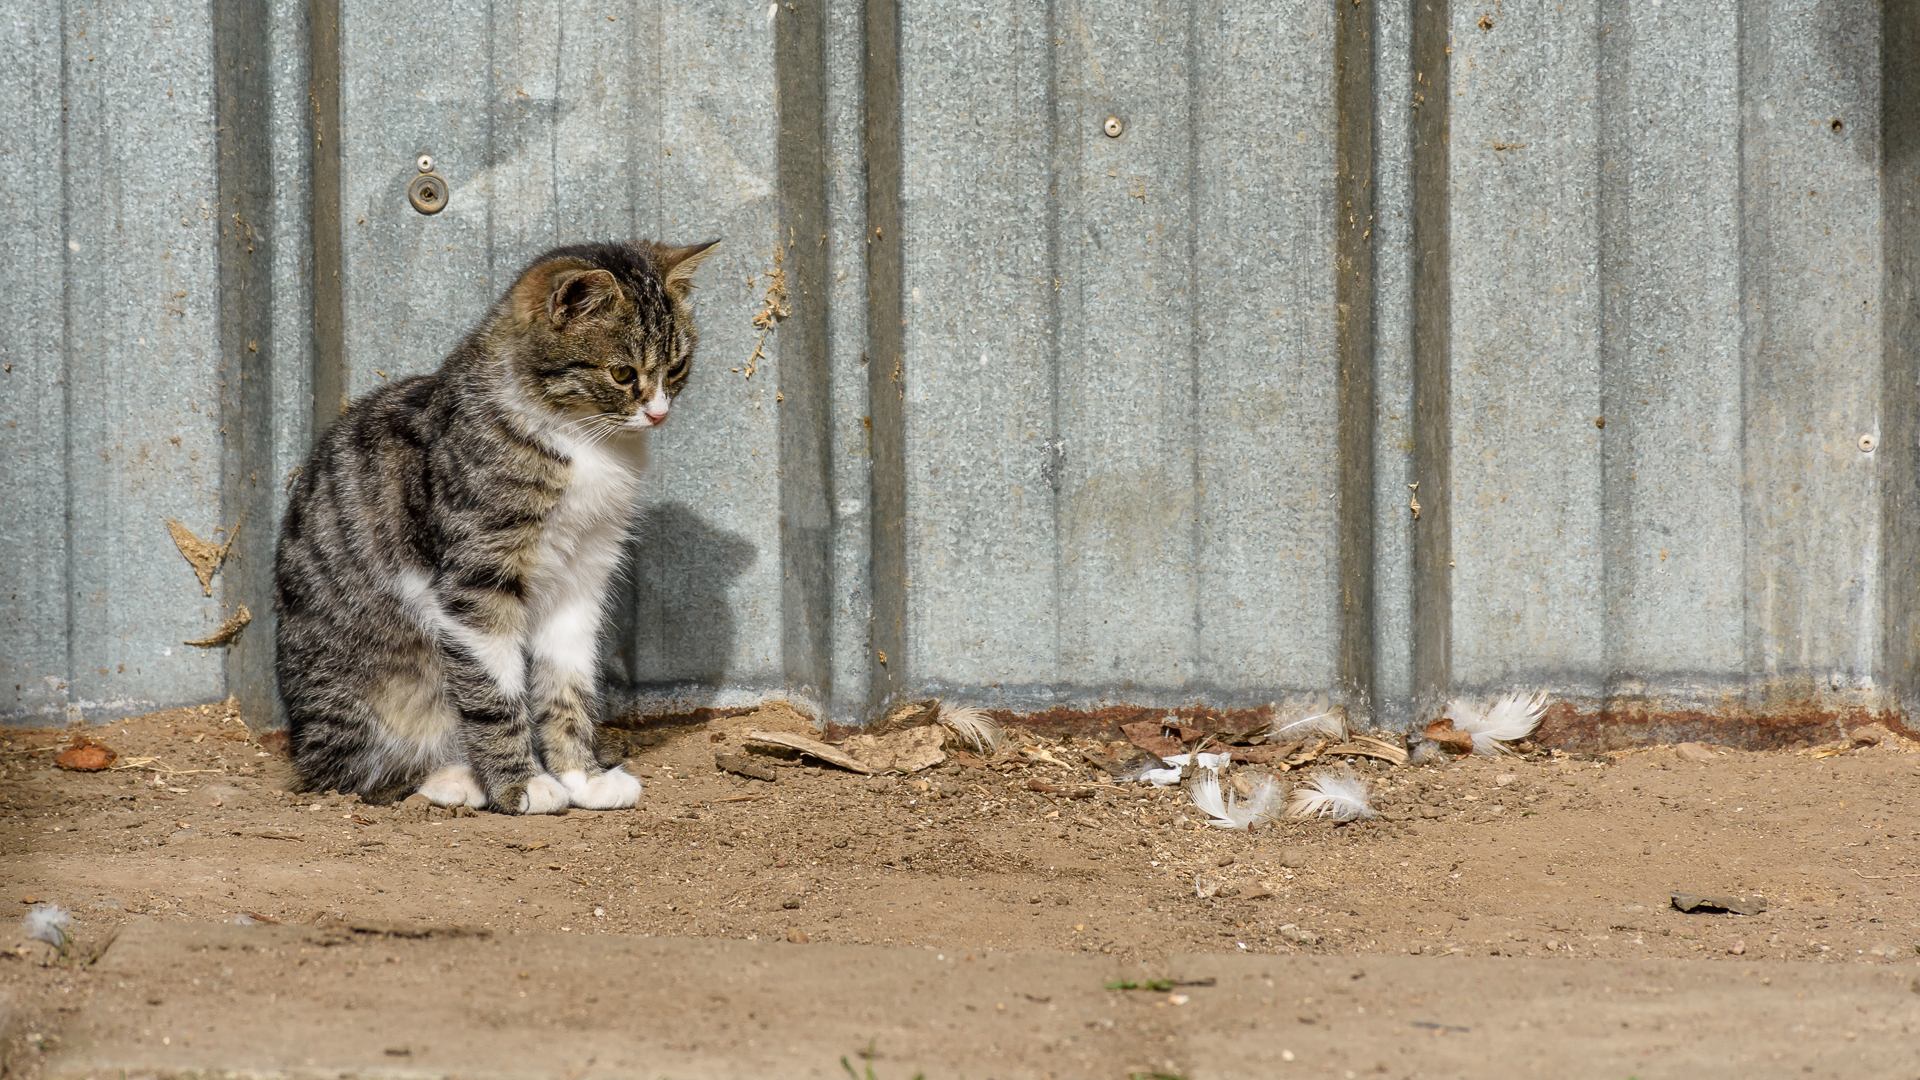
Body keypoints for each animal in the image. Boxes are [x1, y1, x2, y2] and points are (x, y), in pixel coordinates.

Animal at [274, 235, 718, 807]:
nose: (659, 413)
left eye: (677, 367)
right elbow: (492, 688)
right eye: (622, 374)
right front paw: (521, 783)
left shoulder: (584, 573)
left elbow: (568, 679)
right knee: (338, 769)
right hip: (365, 684)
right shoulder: (478, 575)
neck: (583, 442)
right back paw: (451, 776)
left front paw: (582, 776)